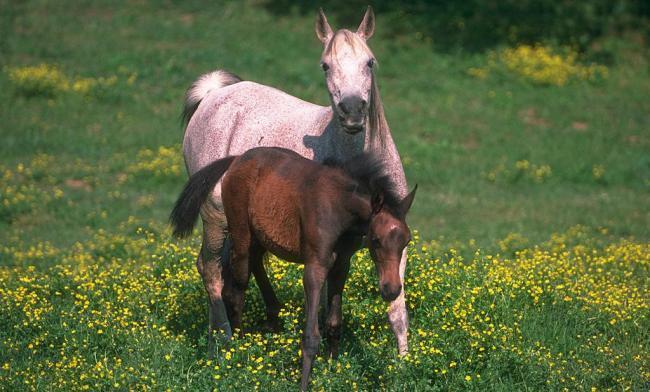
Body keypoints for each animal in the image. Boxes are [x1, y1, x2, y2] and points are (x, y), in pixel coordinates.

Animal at [171, 147, 416, 388]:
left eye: (406, 241)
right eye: (375, 240)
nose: (392, 290)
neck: (340, 208)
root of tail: (237, 159)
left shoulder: (341, 265)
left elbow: (334, 322)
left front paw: (332, 371)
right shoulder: (315, 266)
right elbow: (311, 336)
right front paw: (305, 383)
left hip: (259, 235)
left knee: (255, 263)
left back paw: (271, 320)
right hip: (240, 235)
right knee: (234, 292)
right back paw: (239, 352)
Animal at [180, 6, 408, 356]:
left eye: (370, 62)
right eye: (325, 65)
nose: (353, 111)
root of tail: (214, 94)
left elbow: (395, 308)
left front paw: (404, 360)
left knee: (239, 266)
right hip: (215, 218)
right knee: (212, 269)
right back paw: (224, 340)